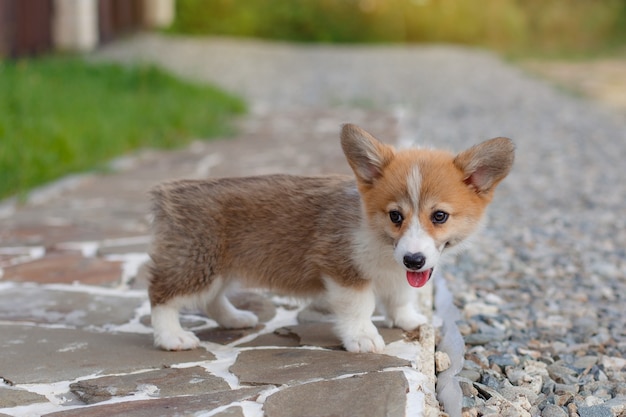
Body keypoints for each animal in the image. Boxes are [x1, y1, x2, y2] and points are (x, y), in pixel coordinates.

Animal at [146, 122, 512, 352]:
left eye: (439, 216)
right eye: (395, 216)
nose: (414, 259)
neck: (378, 238)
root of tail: (169, 191)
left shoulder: (398, 273)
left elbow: (400, 296)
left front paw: (407, 319)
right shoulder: (343, 270)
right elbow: (361, 307)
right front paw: (363, 338)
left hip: (219, 268)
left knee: (211, 298)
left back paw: (235, 319)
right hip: (197, 263)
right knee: (162, 295)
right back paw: (172, 337)